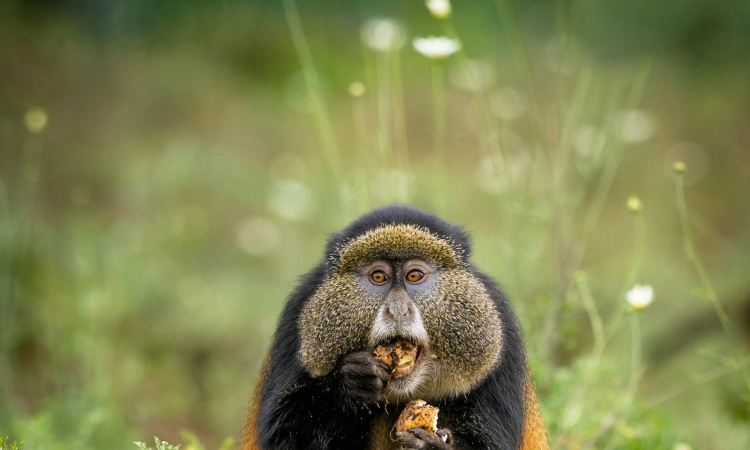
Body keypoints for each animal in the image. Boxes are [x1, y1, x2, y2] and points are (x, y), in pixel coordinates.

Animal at [241, 205, 549, 450]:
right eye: (379, 277)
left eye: (414, 276)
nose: (398, 310)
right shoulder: (298, 311)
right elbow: (286, 436)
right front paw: (351, 382)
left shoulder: (500, 323)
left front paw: (432, 446)